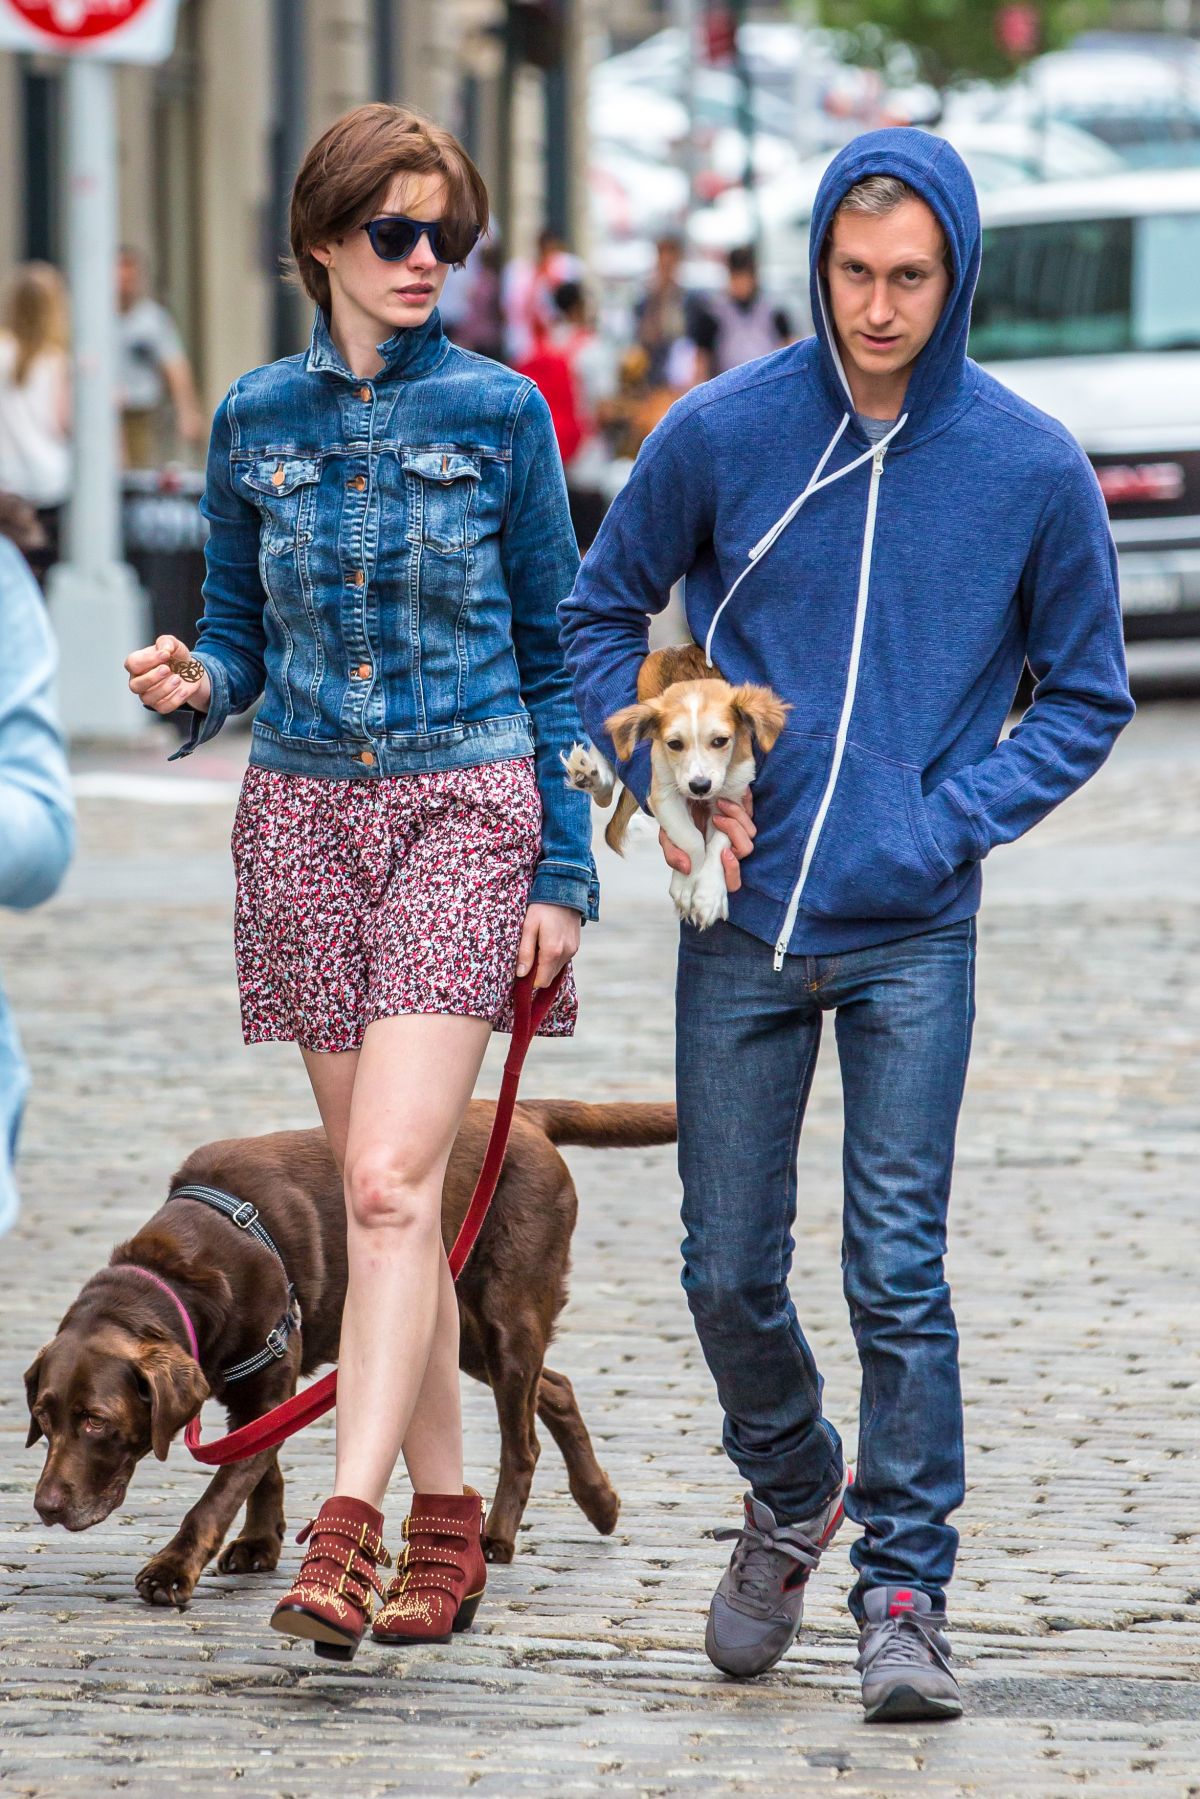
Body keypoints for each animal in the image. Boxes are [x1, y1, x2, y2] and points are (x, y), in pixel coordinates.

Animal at [564, 644, 788, 928]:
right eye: (674, 744)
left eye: (720, 741)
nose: (700, 787)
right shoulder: (663, 792)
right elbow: (690, 838)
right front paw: (687, 885)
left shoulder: (733, 801)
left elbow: (718, 843)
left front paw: (708, 895)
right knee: (608, 768)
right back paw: (590, 774)